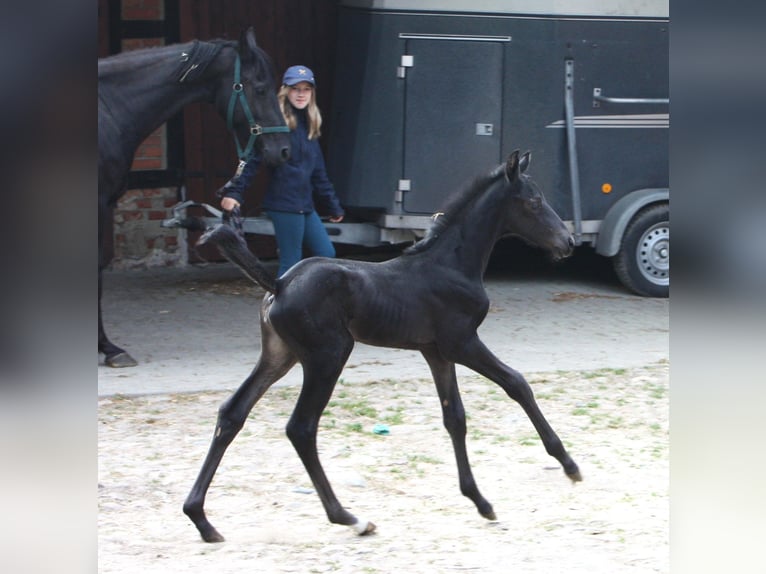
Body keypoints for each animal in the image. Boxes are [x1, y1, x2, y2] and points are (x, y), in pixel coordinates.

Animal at [186, 151, 584, 544]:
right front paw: (568, 464)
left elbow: (454, 418)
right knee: (301, 427)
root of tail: (279, 284)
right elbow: (517, 383)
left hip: (279, 355)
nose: (568, 242)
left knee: (232, 413)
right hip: (327, 356)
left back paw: (201, 519)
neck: (450, 264)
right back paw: (350, 518)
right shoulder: (462, 343)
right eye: (534, 201)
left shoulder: (436, 352)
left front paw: (480, 501)